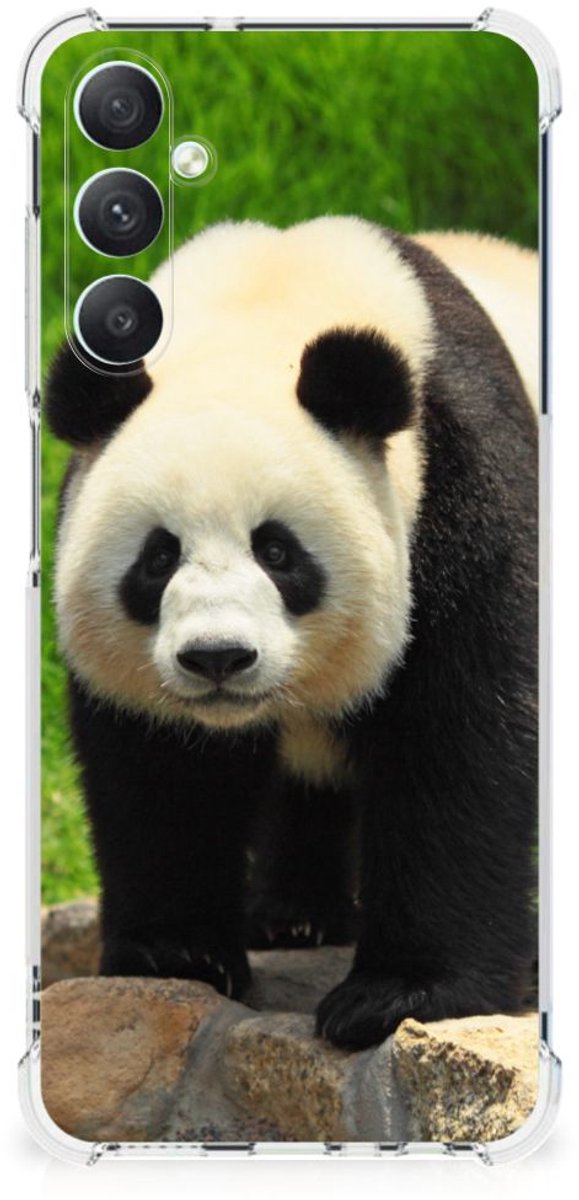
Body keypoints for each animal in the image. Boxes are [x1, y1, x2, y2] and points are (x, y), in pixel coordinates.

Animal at [46, 217, 538, 1050]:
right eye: (157, 557)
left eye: (277, 552)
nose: (217, 658)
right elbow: (159, 769)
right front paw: (177, 953)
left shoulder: (463, 485)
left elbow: (460, 739)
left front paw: (398, 994)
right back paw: (294, 917)